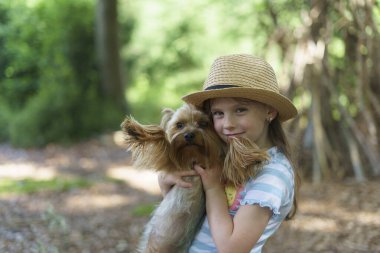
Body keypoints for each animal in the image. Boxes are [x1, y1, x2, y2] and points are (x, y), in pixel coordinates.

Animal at [121, 103, 268, 253]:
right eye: (179, 125)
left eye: (203, 124)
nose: (189, 134)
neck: (194, 156)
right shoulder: (170, 161)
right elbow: (162, 137)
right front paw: (136, 130)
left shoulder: (223, 169)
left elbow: (233, 157)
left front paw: (248, 156)